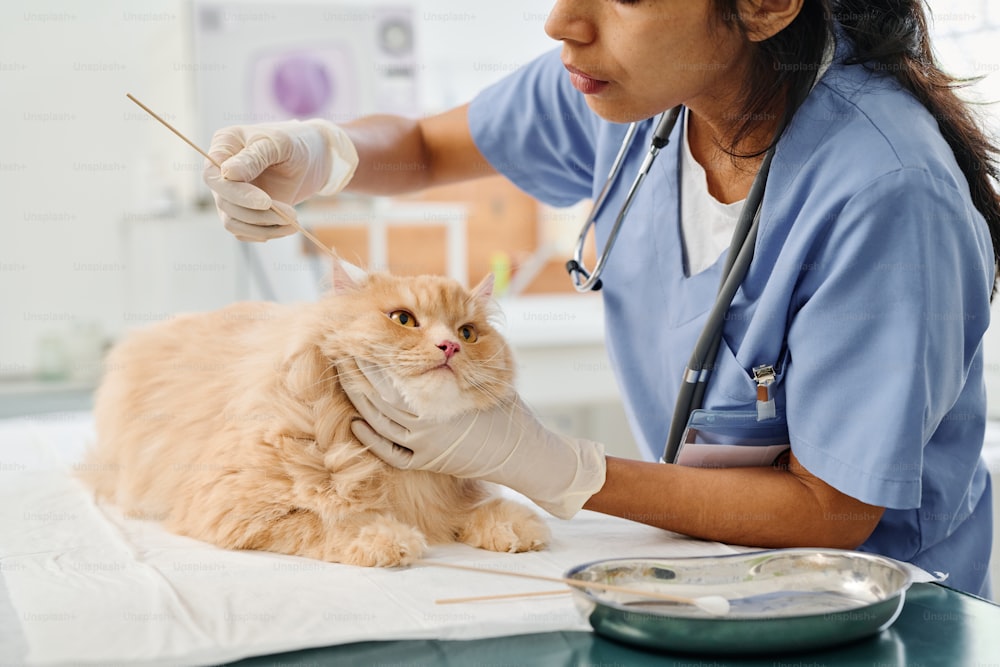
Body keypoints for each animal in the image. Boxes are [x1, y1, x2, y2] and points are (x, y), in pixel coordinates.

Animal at [80, 264, 548, 568]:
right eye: (403, 319)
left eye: (468, 333)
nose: (450, 346)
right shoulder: (231, 506)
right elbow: (326, 522)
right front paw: (386, 539)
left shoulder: (447, 498)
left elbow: (480, 510)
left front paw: (515, 528)